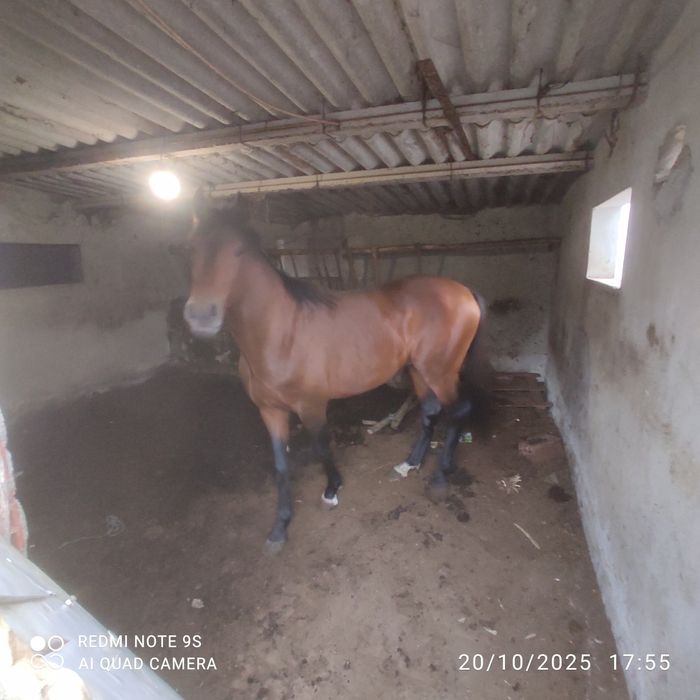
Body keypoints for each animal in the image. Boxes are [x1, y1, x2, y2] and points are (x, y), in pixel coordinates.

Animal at [184, 207, 490, 550]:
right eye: (190, 248)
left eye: (240, 251)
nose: (201, 316)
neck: (281, 334)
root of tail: (462, 291)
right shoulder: (270, 411)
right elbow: (280, 465)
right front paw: (279, 528)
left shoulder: (311, 406)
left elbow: (321, 447)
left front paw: (331, 490)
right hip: (419, 370)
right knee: (431, 412)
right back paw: (409, 464)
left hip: (441, 371)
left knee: (459, 411)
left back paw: (439, 480)